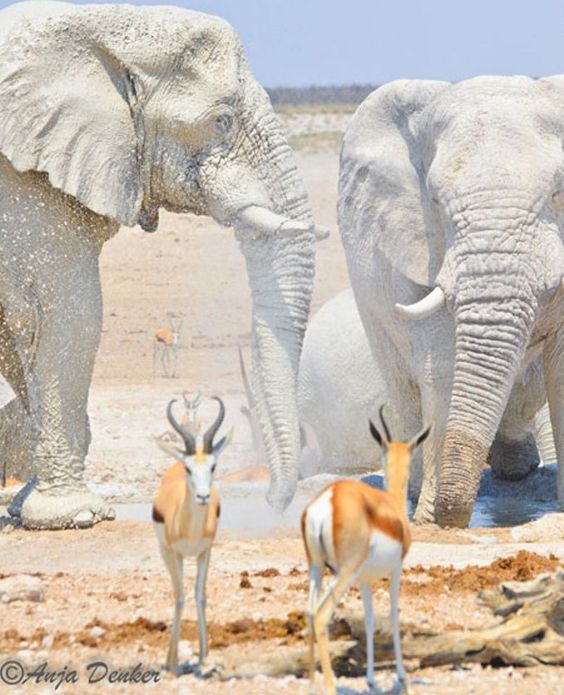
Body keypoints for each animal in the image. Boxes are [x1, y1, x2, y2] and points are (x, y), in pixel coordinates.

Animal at [0, 2, 327, 528]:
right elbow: (65, 310)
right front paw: (77, 515)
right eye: (222, 121)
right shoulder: (23, 183)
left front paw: (25, 506)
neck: (104, 23)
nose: (275, 503)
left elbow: (17, 327)